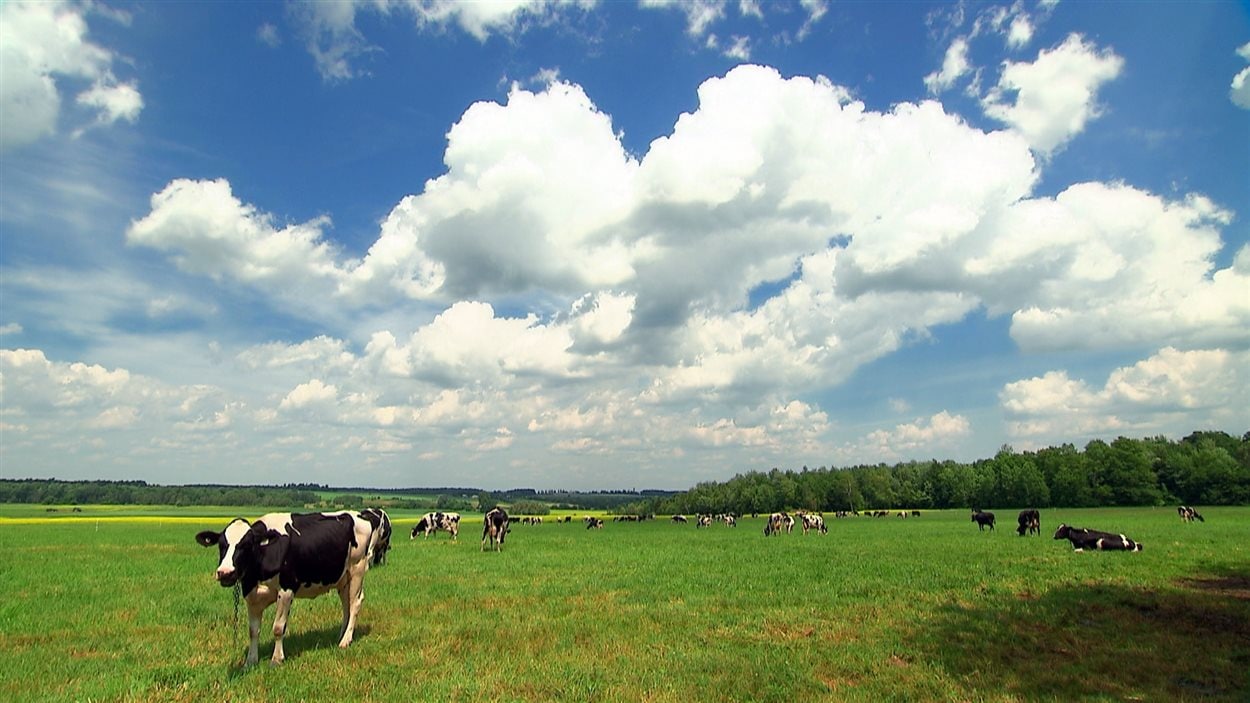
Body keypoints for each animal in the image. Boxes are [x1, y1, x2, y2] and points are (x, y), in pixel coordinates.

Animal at [192, 507, 372, 660]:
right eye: (221, 545)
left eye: (246, 545)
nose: (225, 573)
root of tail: (358, 514)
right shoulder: (252, 594)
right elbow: (253, 631)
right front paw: (250, 661)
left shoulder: (286, 590)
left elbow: (278, 628)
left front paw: (277, 659)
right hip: (343, 578)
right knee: (346, 604)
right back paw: (342, 635)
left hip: (357, 569)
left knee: (355, 602)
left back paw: (345, 641)